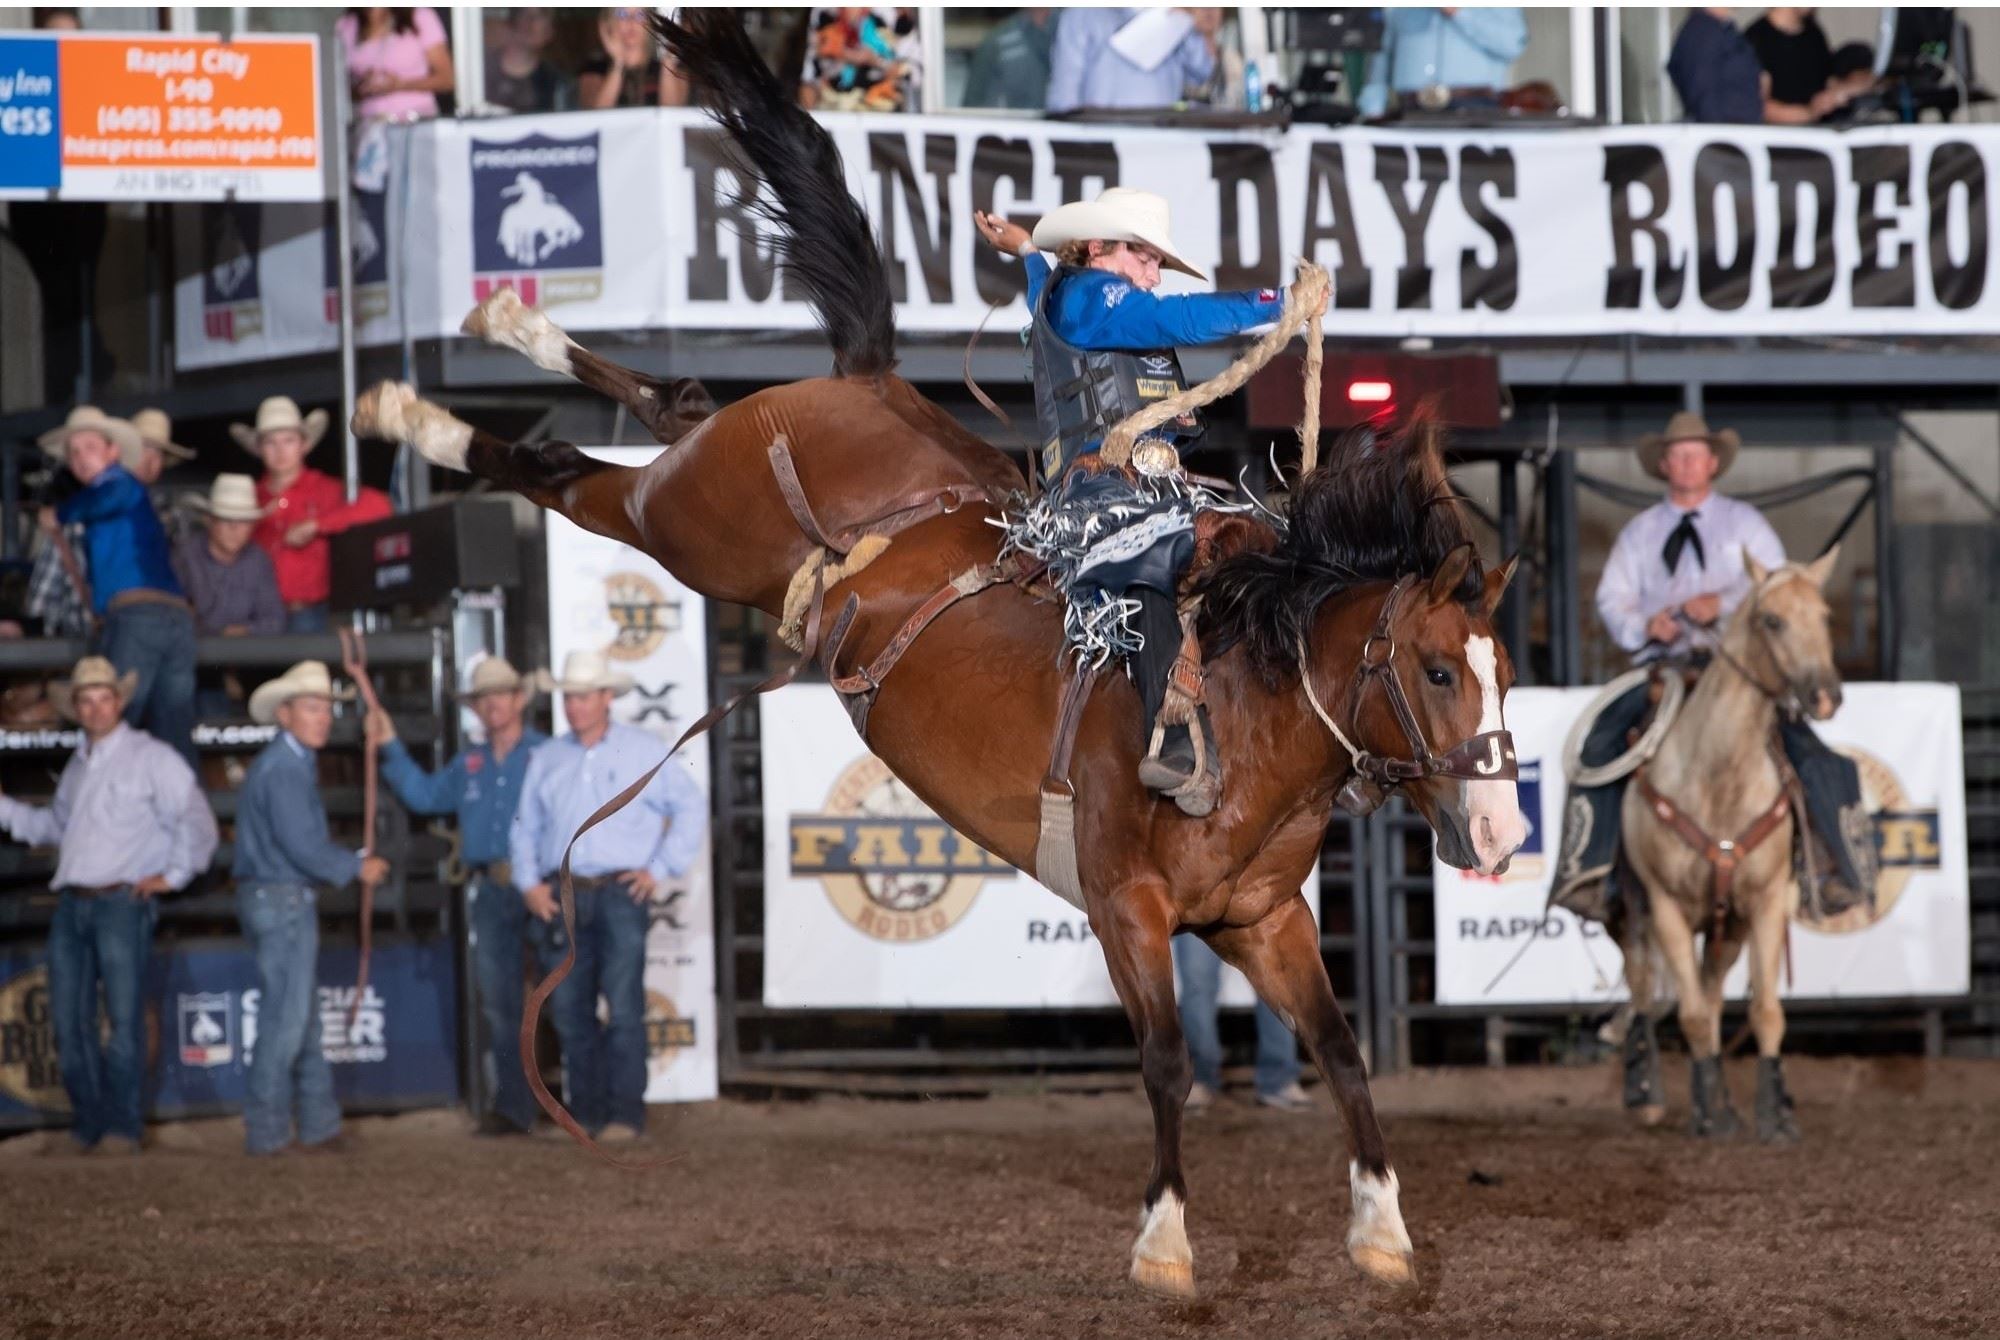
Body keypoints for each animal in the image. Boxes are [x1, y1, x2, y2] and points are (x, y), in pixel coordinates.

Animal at [356, 5, 1528, 1296]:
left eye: (1502, 670)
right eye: (1435, 669)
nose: (1501, 833)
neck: (1242, 709)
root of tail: (869, 384)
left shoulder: (1263, 921)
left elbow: (1339, 1048)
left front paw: (1381, 1226)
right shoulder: (1123, 905)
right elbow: (1167, 1062)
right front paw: (1163, 1241)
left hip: (703, 475)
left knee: (673, 396)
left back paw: (500, 325)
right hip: (686, 524)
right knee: (569, 469)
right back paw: (415, 408)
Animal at [1608, 552, 1840, 1152]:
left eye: (1824, 615)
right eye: (1773, 621)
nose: (1826, 696)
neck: (1718, 776)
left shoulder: (1764, 904)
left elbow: (1764, 1012)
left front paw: (1773, 1116)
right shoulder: (1666, 907)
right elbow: (1688, 1016)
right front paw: (1705, 1116)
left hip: (1727, 928)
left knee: (1713, 998)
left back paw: (1725, 1103)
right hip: (1635, 914)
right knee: (1645, 988)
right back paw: (1650, 1095)